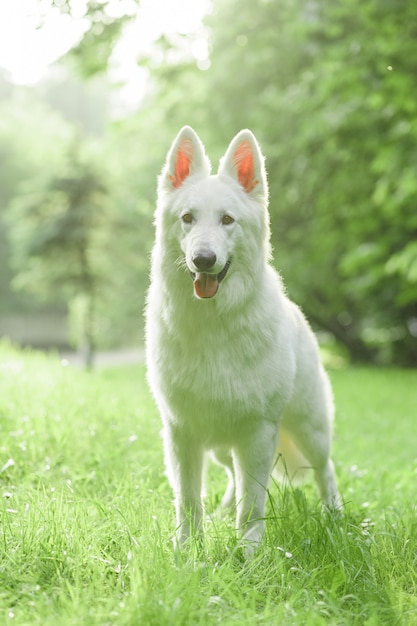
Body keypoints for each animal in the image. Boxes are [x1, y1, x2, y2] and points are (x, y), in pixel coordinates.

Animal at [145, 124, 340, 552]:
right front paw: (188, 548)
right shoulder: (182, 431)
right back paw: (221, 513)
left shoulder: (257, 432)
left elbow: (252, 504)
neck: (213, 322)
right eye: (187, 218)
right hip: (220, 447)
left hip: (309, 429)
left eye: (227, 220)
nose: (203, 259)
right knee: (232, 477)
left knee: (325, 469)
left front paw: (248, 552)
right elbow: (189, 499)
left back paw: (337, 519)